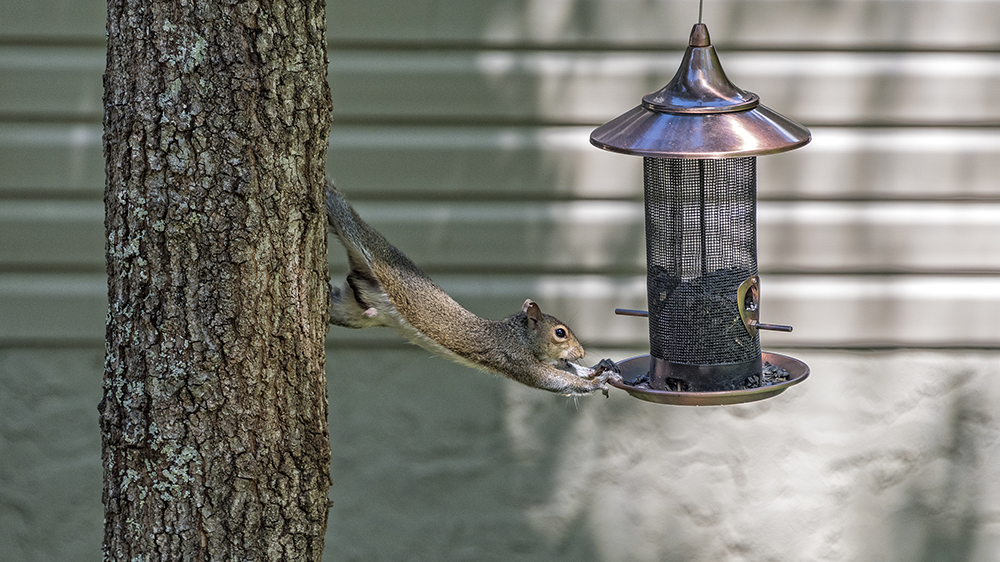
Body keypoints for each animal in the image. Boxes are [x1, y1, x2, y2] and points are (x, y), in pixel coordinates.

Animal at [324, 185, 616, 394]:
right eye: (560, 333)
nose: (582, 352)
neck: (517, 335)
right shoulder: (515, 358)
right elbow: (553, 379)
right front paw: (593, 383)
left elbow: (568, 368)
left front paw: (599, 367)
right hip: (363, 245)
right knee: (344, 217)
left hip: (352, 310)